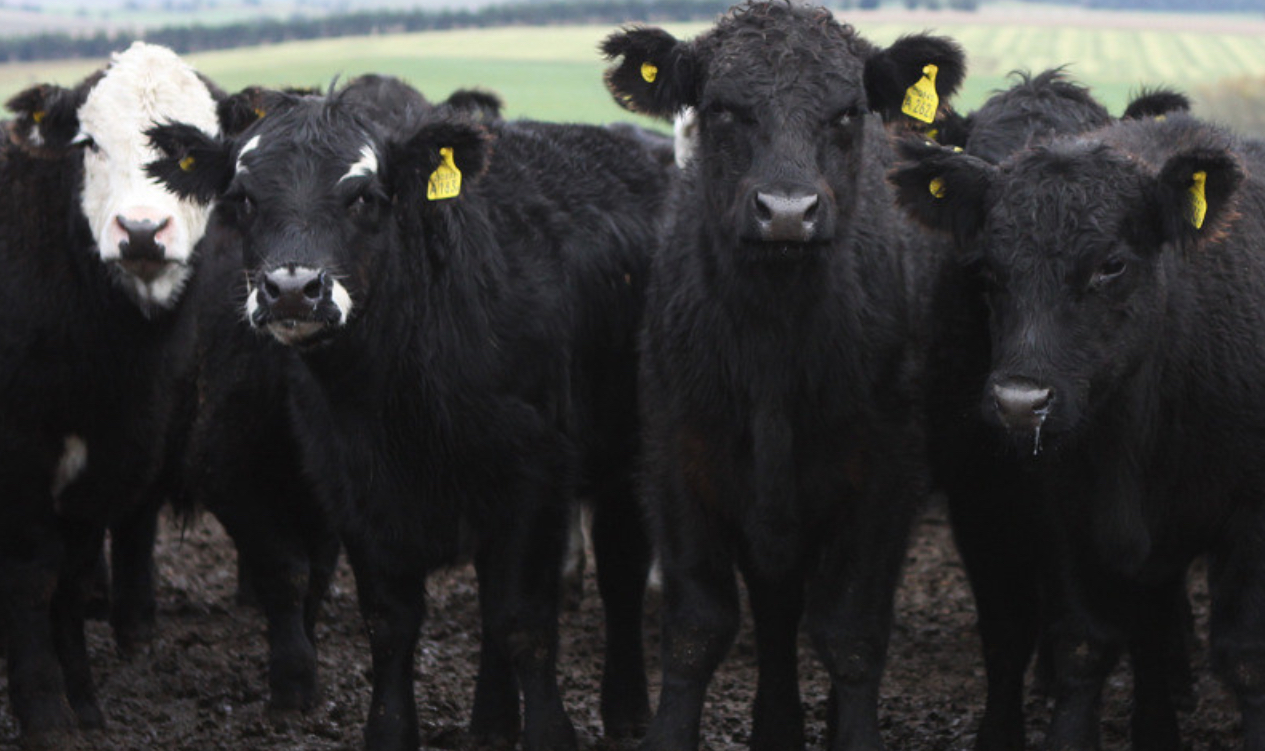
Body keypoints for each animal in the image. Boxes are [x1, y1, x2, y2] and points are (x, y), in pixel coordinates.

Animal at [597, 2, 961, 743]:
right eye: (722, 109)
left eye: (848, 112)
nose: (787, 212)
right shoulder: (676, 463)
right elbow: (697, 628)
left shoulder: (886, 478)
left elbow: (850, 632)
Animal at [890, 112, 1265, 748]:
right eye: (988, 269)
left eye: (1111, 265)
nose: (1020, 403)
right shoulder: (1063, 513)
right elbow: (1084, 645)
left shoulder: (1250, 518)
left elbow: (1244, 657)